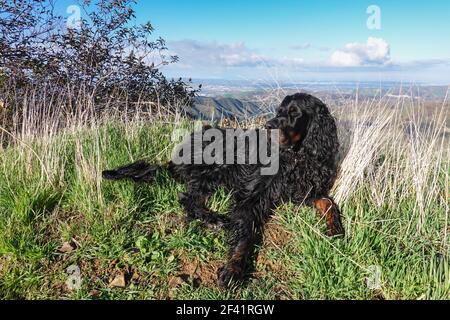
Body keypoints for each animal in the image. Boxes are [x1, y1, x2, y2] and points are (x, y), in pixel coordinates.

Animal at [103, 92, 346, 288]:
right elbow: (246, 234)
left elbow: (328, 203)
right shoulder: (252, 195)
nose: (268, 127)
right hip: (216, 168)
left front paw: (336, 230)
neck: (298, 157)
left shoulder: (304, 190)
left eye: (295, 113)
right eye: (279, 111)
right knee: (187, 198)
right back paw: (215, 220)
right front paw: (233, 269)